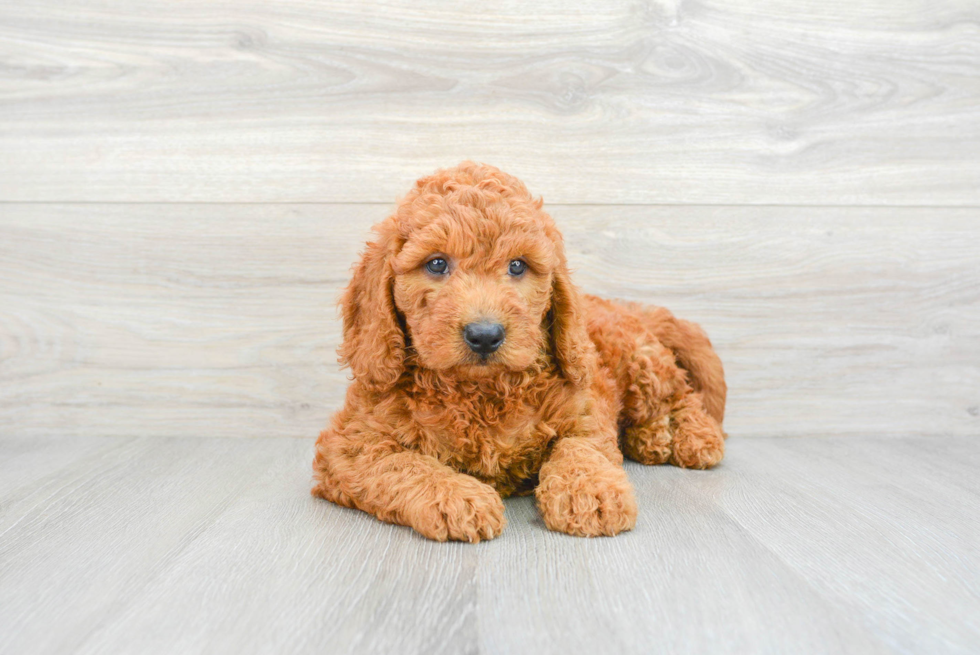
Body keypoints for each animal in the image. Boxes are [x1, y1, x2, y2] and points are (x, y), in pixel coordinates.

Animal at [314, 164, 728, 544]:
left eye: (517, 266)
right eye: (436, 263)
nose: (484, 335)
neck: (480, 392)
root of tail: (621, 306)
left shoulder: (585, 407)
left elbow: (581, 445)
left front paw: (589, 492)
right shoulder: (350, 443)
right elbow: (402, 464)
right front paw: (459, 498)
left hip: (638, 360)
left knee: (680, 395)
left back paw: (691, 436)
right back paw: (653, 438)